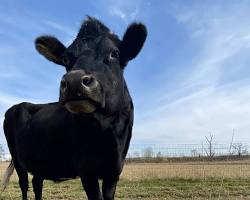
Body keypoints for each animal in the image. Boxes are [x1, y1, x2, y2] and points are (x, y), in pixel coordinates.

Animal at [1, 16, 146, 199]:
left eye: (114, 53)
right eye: (65, 59)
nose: (74, 81)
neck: (108, 132)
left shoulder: (115, 170)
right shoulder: (87, 170)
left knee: (37, 182)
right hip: (17, 158)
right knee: (24, 184)